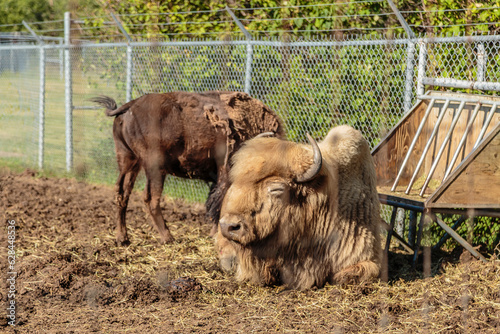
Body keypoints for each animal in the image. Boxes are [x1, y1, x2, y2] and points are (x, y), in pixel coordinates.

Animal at [91, 91, 284, 245]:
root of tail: (131, 105)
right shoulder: (224, 172)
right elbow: (219, 202)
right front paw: (216, 234)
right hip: (154, 167)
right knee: (150, 199)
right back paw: (168, 237)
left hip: (128, 161)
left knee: (122, 194)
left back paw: (122, 238)